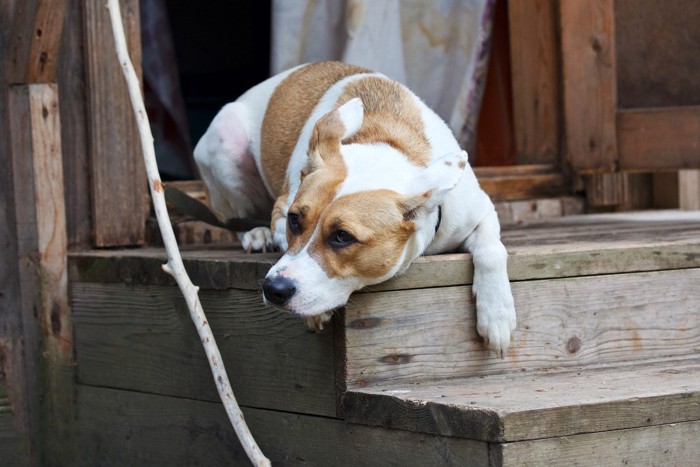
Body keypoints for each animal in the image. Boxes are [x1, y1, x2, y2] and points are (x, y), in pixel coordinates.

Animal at [194, 60, 516, 356]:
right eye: (294, 220)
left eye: (342, 237)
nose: (273, 289)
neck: (383, 139)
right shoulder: (281, 211)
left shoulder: (481, 211)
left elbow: (492, 250)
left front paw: (497, 313)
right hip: (225, 140)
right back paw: (255, 233)